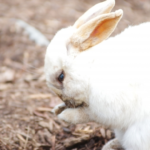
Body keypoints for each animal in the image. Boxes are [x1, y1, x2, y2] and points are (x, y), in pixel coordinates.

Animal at [44, 0, 150, 149]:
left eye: (61, 77)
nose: (66, 102)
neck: (91, 69)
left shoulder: (107, 109)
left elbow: (87, 114)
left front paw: (65, 115)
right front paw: (57, 109)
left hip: (136, 136)